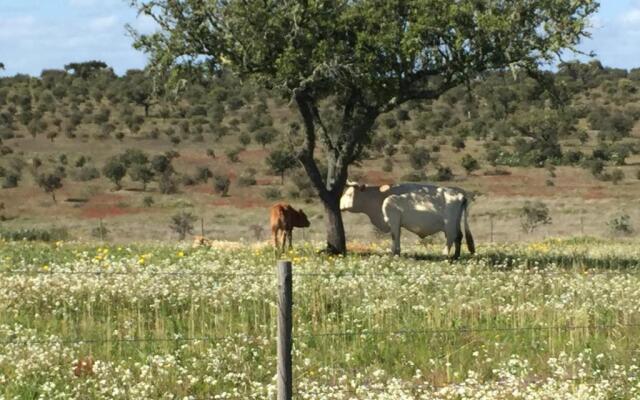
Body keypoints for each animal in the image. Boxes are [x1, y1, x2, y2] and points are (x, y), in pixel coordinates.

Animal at [340, 182, 476, 258]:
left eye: (349, 194)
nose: (339, 205)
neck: (381, 197)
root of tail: (459, 194)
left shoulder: (393, 219)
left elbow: (394, 236)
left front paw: (394, 253)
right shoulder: (397, 223)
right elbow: (398, 236)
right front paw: (397, 253)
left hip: (449, 223)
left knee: (451, 236)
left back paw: (445, 255)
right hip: (456, 222)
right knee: (459, 236)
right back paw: (456, 255)